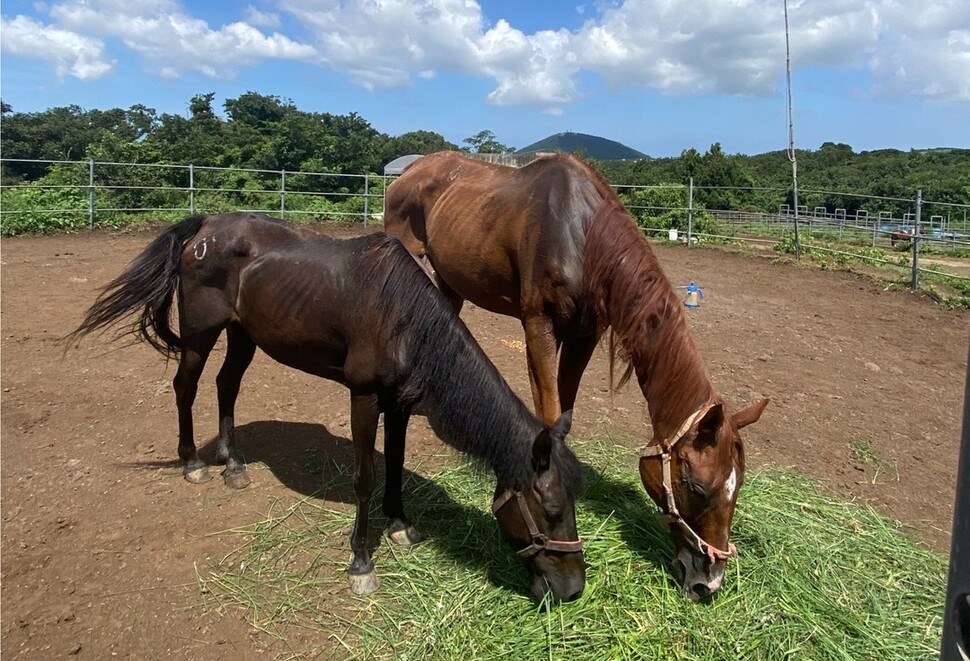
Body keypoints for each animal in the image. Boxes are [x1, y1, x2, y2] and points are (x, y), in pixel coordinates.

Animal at [68, 213, 588, 604]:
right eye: (552, 510)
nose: (572, 589)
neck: (402, 318)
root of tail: (206, 227)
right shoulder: (364, 398)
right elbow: (365, 477)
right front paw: (361, 562)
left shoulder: (400, 403)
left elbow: (394, 464)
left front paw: (400, 524)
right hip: (200, 333)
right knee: (186, 386)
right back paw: (193, 462)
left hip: (243, 334)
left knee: (226, 386)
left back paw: (233, 464)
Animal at [382, 152, 768, 600]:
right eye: (696, 486)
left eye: (737, 487)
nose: (708, 581)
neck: (581, 237)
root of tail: (410, 171)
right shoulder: (539, 325)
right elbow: (549, 407)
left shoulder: (585, 334)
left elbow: (565, 403)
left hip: (450, 279)